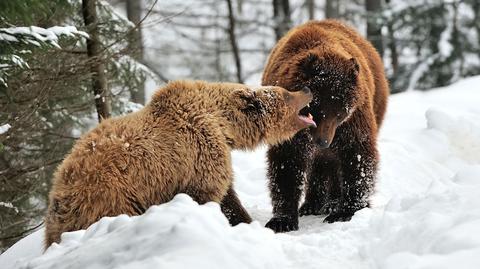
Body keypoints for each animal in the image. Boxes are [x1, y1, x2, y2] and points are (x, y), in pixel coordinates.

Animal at [44, 80, 316, 247]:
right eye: (285, 93)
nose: (307, 88)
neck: (223, 124)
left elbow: (228, 197)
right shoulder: (200, 151)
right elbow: (209, 195)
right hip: (111, 195)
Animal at [260, 19, 388, 231]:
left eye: (341, 112)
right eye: (316, 109)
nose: (323, 141)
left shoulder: (353, 118)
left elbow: (357, 153)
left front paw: (347, 210)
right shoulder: (290, 126)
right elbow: (287, 162)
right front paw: (282, 220)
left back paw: (333, 202)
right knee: (319, 166)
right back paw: (312, 204)